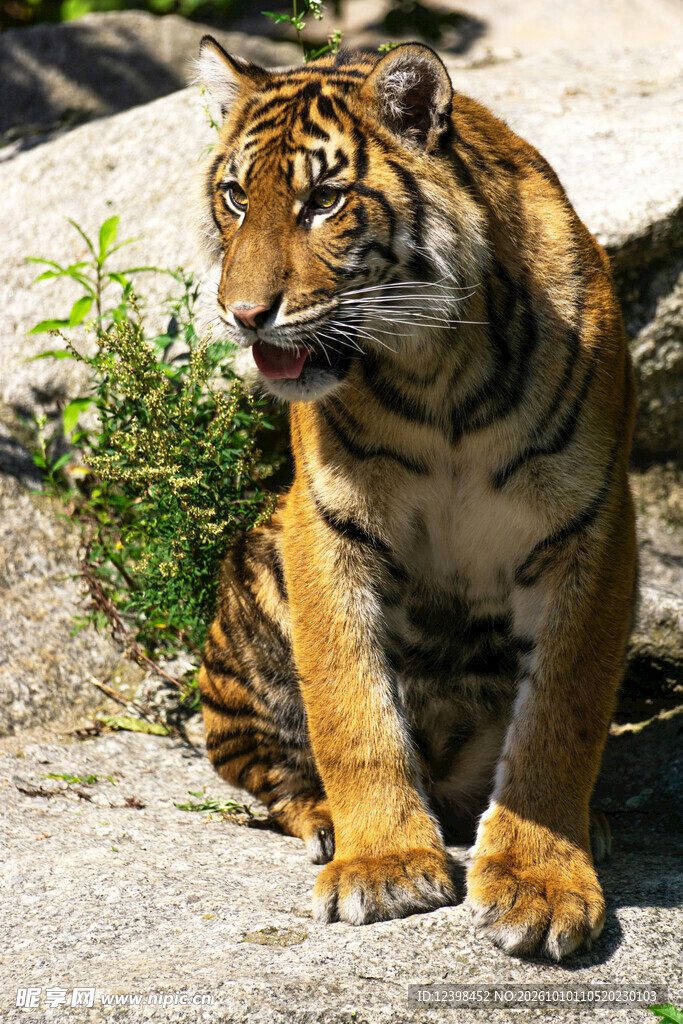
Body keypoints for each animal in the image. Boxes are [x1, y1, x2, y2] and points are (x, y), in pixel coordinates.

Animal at [194, 36, 636, 960]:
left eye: (323, 201)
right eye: (234, 196)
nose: (242, 315)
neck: (436, 366)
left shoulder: (590, 527)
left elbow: (561, 714)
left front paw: (542, 879)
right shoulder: (328, 523)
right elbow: (350, 705)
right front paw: (383, 864)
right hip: (257, 576)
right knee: (260, 766)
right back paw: (327, 821)